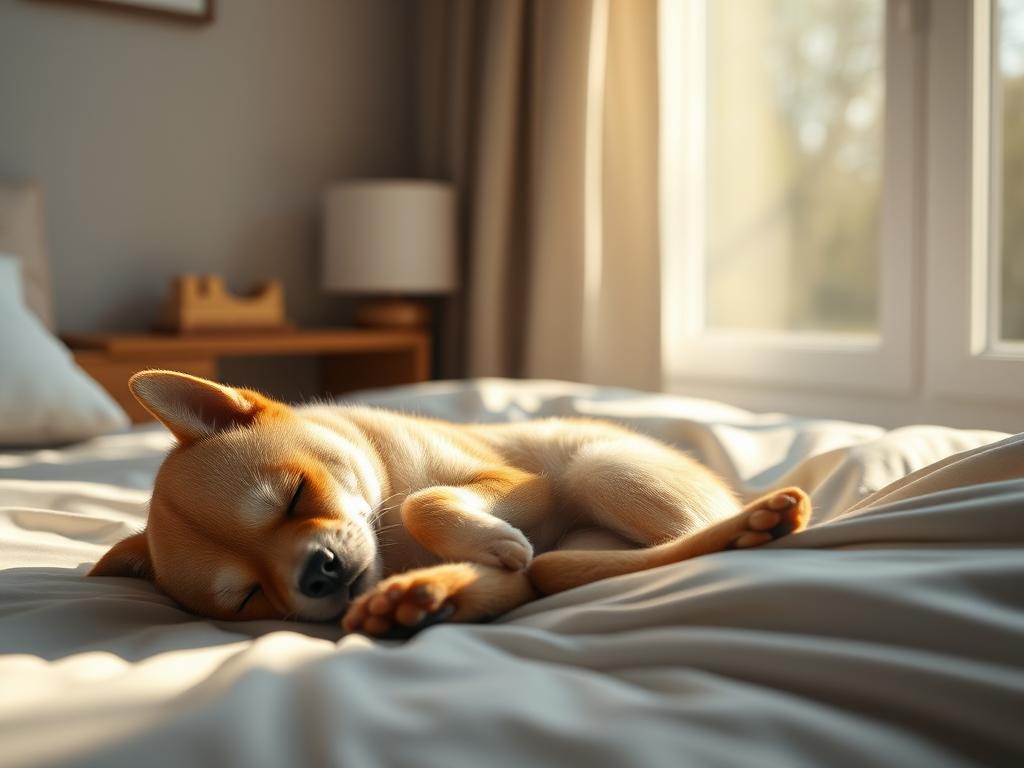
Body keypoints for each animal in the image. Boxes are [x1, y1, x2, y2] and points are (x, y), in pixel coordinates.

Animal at [90, 372, 806, 638]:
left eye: (295, 496)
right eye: (248, 598)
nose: (318, 572)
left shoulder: (518, 483)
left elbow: (423, 499)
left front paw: (482, 539)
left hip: (602, 469)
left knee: (673, 545)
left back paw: (754, 522)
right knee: (558, 576)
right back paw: (414, 599)